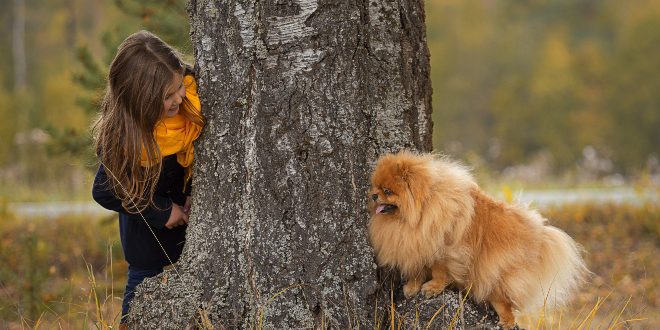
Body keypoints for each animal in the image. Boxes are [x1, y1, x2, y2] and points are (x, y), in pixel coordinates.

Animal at [366, 151, 588, 328]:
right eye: (375, 187)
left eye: (388, 191)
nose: (374, 195)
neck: (419, 212)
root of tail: (537, 233)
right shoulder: (416, 244)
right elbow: (417, 270)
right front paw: (412, 287)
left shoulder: (444, 249)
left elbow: (439, 271)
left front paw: (432, 288)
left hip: (496, 272)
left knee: (504, 301)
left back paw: (507, 321)